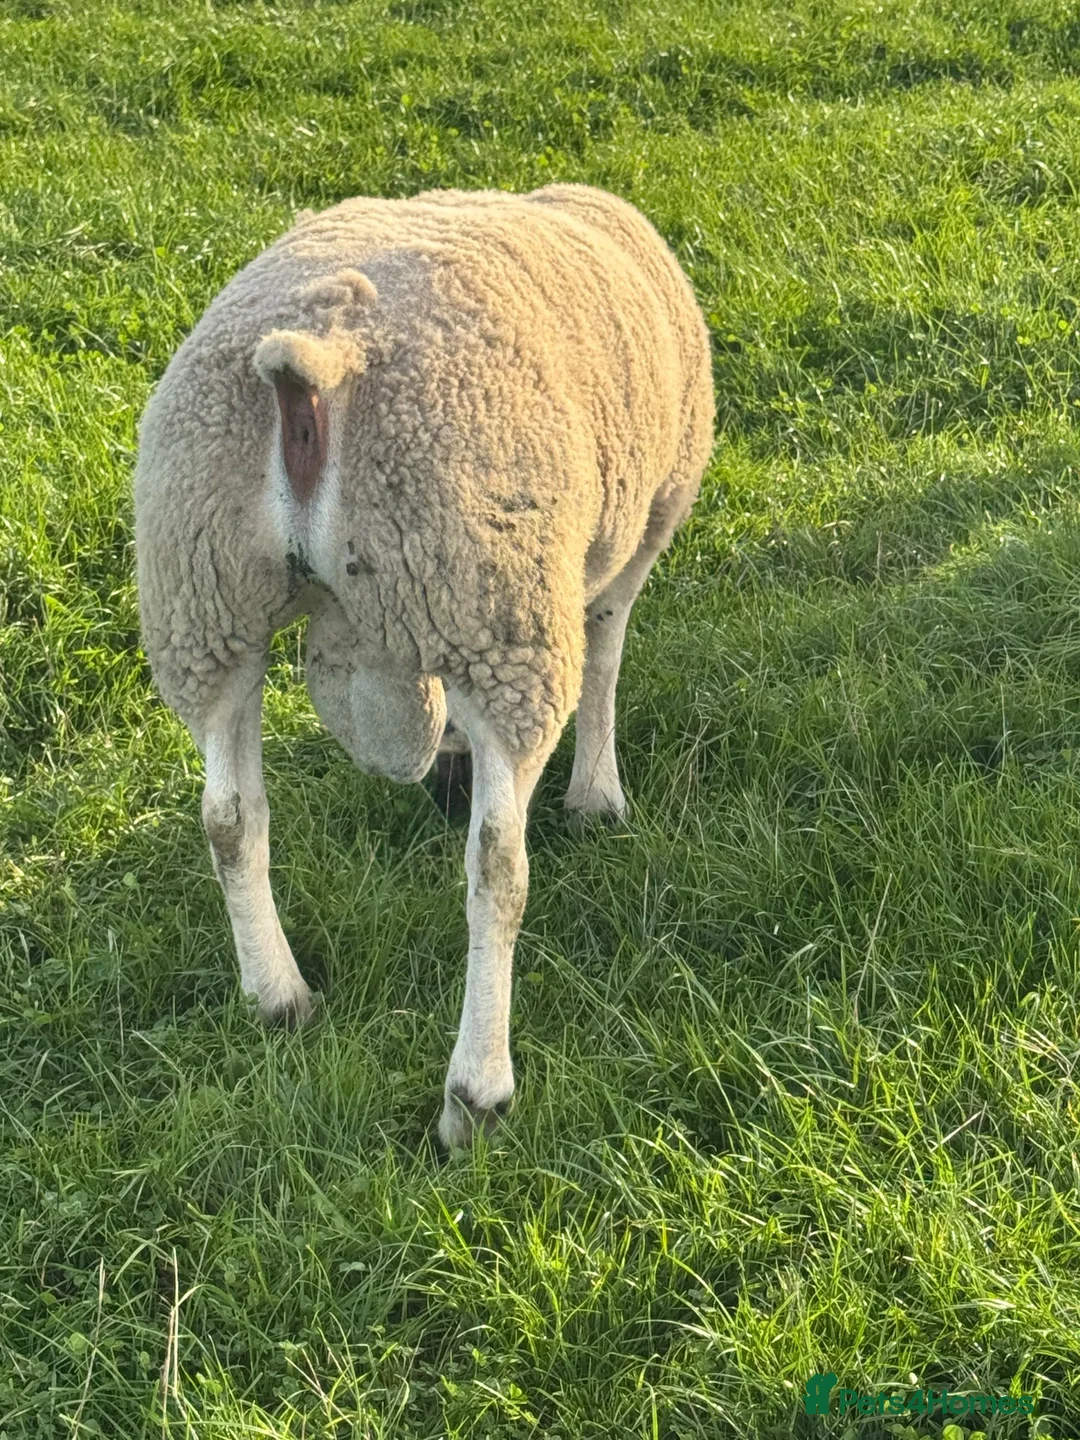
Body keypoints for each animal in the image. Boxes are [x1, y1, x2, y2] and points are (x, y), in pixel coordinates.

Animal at [134, 183, 715, 1148]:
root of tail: (312, 360)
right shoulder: (640, 529)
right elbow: (606, 650)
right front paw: (598, 794)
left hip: (203, 596)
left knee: (228, 817)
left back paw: (278, 997)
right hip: (494, 600)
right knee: (498, 865)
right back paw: (476, 1091)